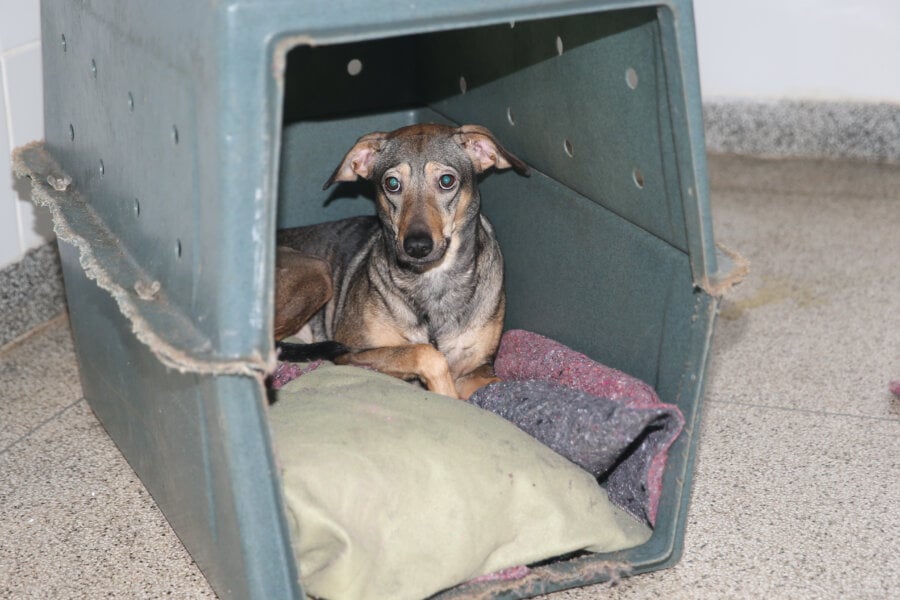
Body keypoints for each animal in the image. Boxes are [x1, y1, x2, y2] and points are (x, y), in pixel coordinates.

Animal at [272, 123, 528, 398]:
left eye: (447, 181)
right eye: (392, 183)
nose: (417, 247)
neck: (432, 283)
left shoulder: (477, 370)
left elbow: (493, 383)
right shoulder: (351, 353)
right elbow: (427, 354)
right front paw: (444, 393)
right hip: (318, 272)